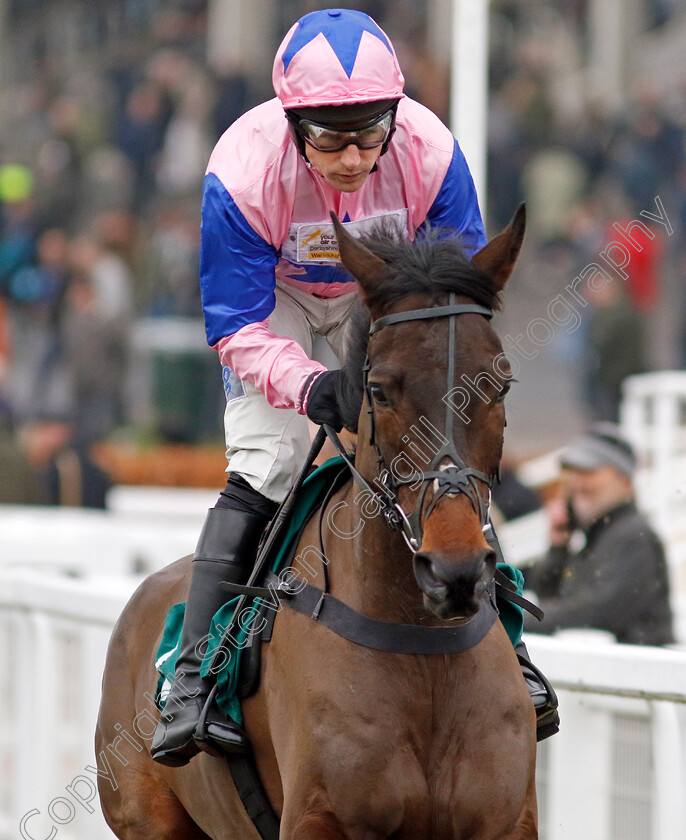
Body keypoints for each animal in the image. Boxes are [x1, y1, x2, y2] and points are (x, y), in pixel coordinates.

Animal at [97, 205, 540, 840]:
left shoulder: (508, 820)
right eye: (378, 389)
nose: (453, 570)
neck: (423, 653)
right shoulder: (318, 817)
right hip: (149, 818)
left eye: (499, 383)